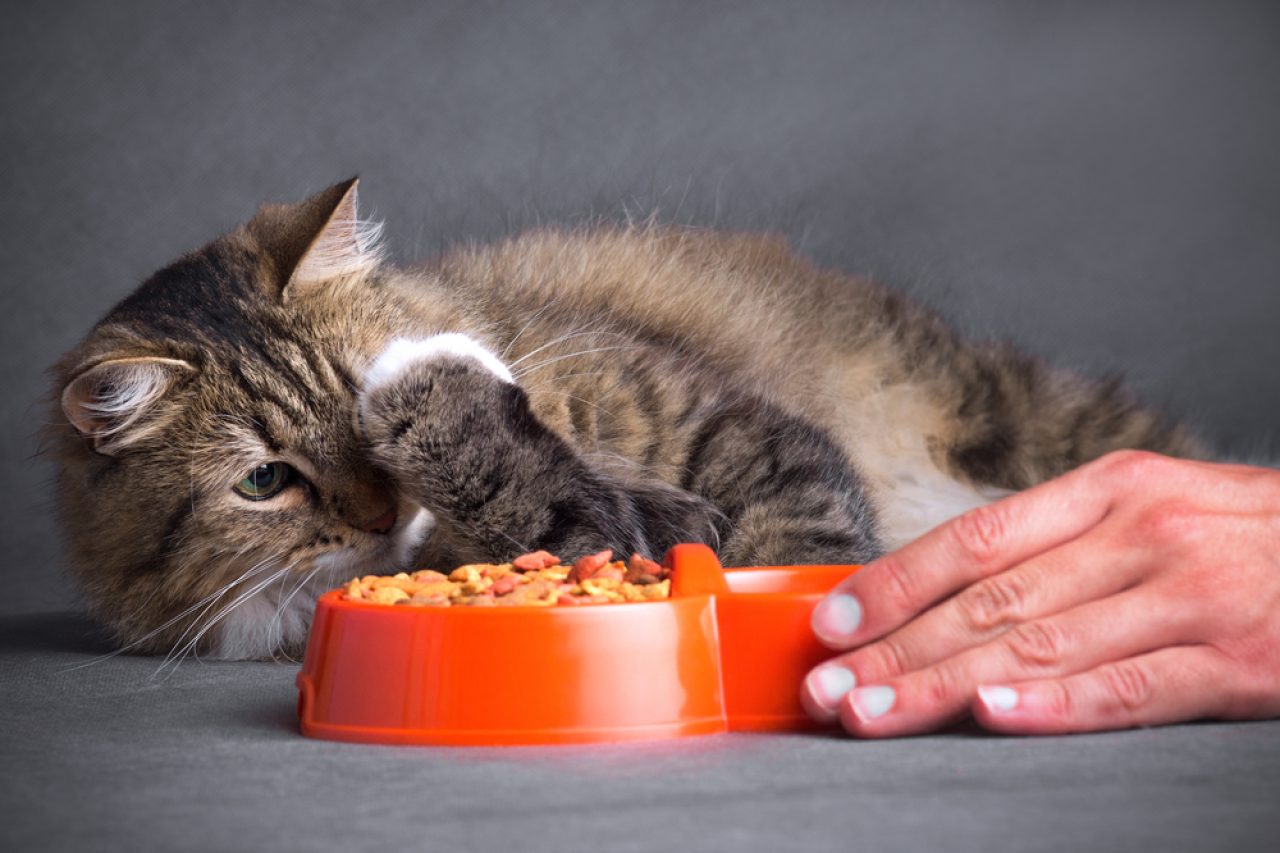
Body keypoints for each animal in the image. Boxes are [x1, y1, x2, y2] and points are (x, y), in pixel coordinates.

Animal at [45, 178, 1192, 655]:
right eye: (264, 480)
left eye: (353, 390)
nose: (378, 512)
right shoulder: (602, 539)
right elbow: (565, 504)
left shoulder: (730, 426)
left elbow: (797, 545)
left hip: (1010, 411)